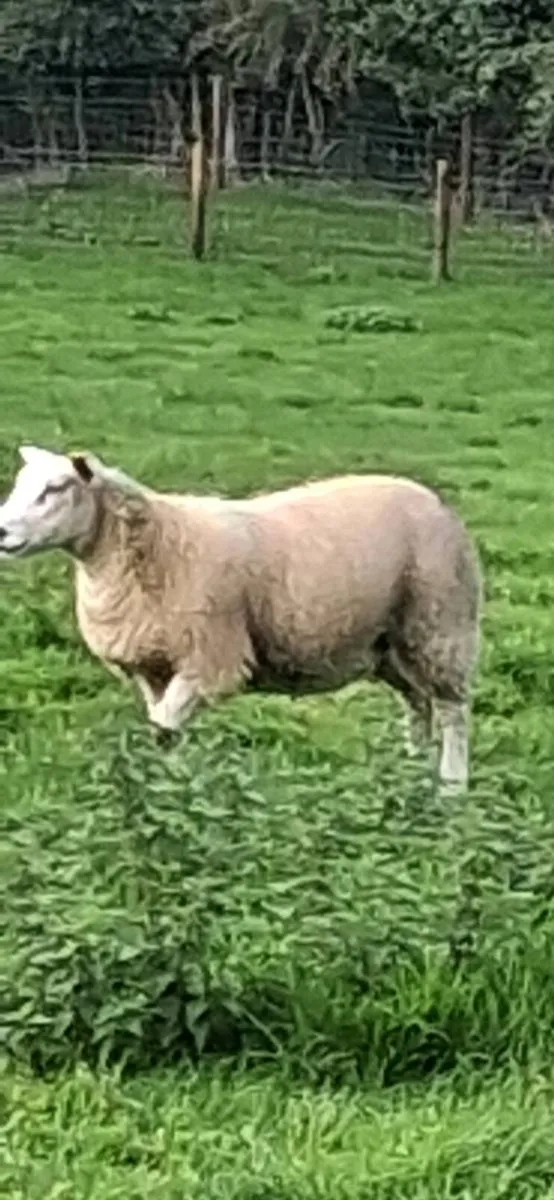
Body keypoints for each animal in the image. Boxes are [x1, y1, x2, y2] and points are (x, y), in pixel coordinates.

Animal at [0, 445, 482, 792]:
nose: (2, 531)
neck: (154, 546)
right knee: (417, 704)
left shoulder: (212, 659)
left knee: (452, 711)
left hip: (440, 624)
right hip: (389, 645)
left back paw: (450, 788)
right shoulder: (153, 669)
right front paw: (166, 785)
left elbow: (165, 726)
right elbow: (162, 730)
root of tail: (433, 500)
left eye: (56, 488)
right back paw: (409, 772)